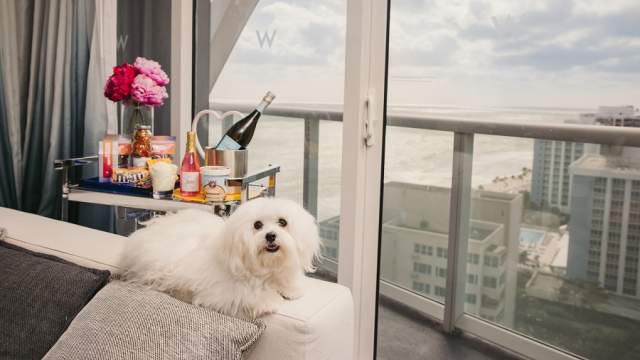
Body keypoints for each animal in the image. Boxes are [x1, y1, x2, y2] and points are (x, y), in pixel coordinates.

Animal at [117, 198, 320, 320]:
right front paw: (266, 301)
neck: (265, 269)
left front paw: (290, 289)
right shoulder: (219, 293)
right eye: (257, 225)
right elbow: (244, 295)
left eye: (283, 222)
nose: (270, 235)